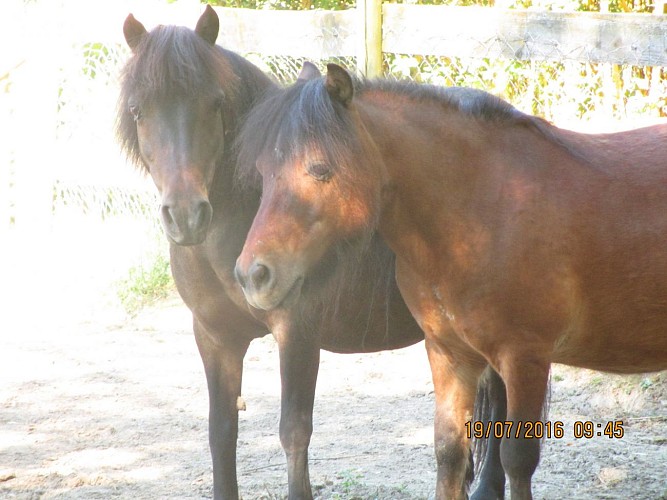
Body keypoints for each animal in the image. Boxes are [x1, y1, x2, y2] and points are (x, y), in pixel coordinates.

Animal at [116, 7, 506, 500]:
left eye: (215, 103)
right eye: (138, 110)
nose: (186, 215)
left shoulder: (297, 333)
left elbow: (294, 433)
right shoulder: (214, 337)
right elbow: (221, 431)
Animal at [235, 63, 667, 500]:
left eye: (320, 169)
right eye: (263, 173)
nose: (252, 274)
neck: (484, 210)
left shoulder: (525, 358)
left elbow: (517, 460)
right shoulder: (449, 354)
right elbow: (449, 452)